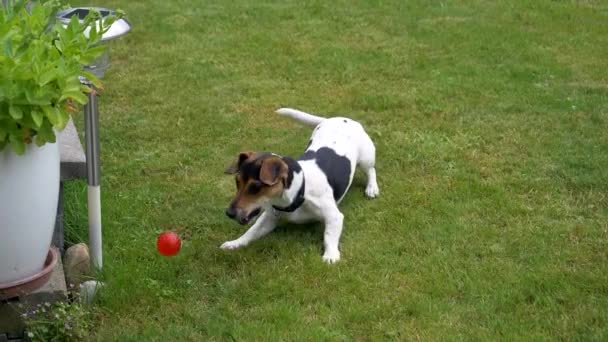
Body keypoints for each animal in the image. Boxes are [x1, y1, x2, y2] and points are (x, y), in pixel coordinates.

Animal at [221, 108, 378, 264]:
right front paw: (234, 243)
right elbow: (251, 232)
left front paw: (331, 255)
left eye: (256, 186)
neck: (299, 191)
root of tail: (340, 119)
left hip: (366, 158)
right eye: (237, 182)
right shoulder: (269, 218)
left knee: (371, 171)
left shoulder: (334, 217)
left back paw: (372, 188)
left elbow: (329, 236)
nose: (229, 213)